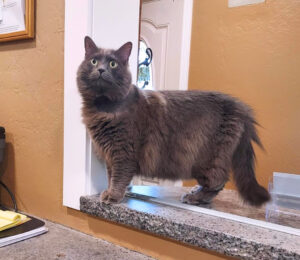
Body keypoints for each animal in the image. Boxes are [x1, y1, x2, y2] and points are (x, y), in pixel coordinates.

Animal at [77, 36, 270, 206]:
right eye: (94, 61)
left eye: (113, 64)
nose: (101, 69)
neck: (103, 107)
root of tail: (240, 107)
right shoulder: (109, 154)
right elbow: (111, 176)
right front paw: (109, 192)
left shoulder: (122, 152)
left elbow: (119, 177)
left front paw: (113, 196)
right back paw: (195, 192)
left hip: (207, 159)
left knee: (218, 182)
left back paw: (195, 198)